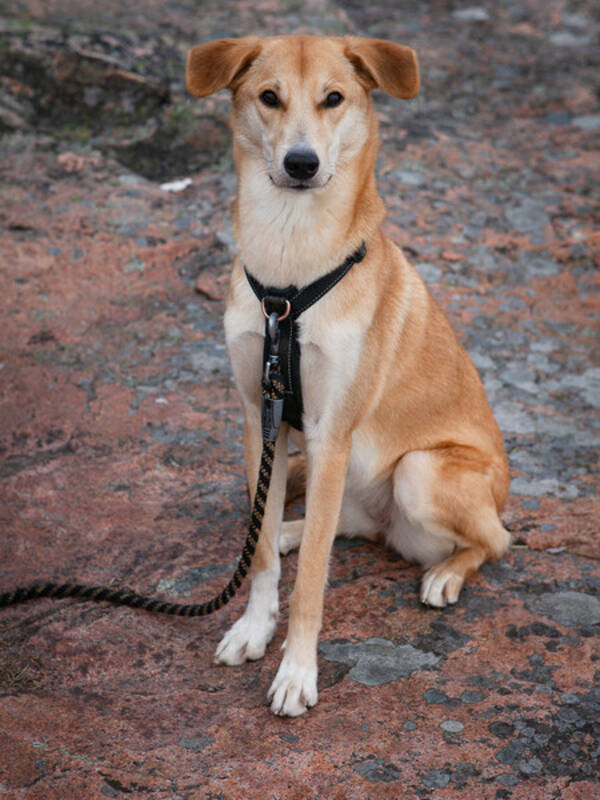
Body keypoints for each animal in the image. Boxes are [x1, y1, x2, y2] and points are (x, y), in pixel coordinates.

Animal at [186, 34, 510, 716]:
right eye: (269, 97)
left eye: (333, 98)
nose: (302, 163)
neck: (287, 284)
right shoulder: (261, 417)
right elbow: (261, 556)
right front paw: (253, 628)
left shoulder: (330, 432)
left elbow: (312, 581)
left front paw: (296, 673)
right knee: (340, 527)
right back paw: (292, 528)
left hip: (420, 472)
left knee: (494, 541)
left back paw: (445, 574)